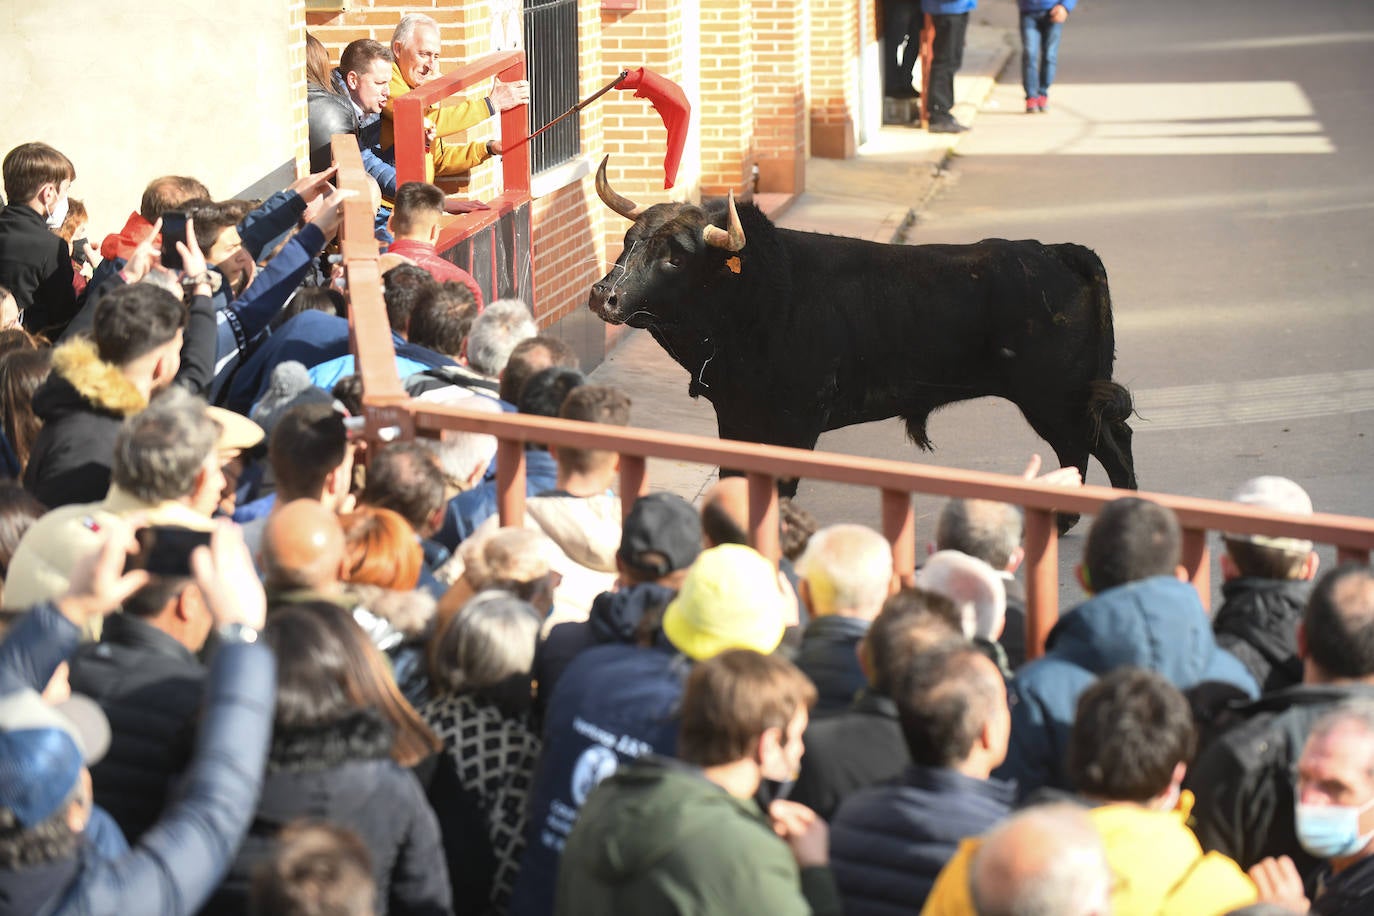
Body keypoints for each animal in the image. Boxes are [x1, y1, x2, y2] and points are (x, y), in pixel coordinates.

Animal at [585, 157, 1132, 502]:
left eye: (675, 258)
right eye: (628, 241)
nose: (602, 295)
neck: (761, 295)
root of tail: (1057, 250)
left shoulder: (797, 421)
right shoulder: (736, 416)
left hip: (1056, 398)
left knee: (1085, 451)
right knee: (1112, 442)